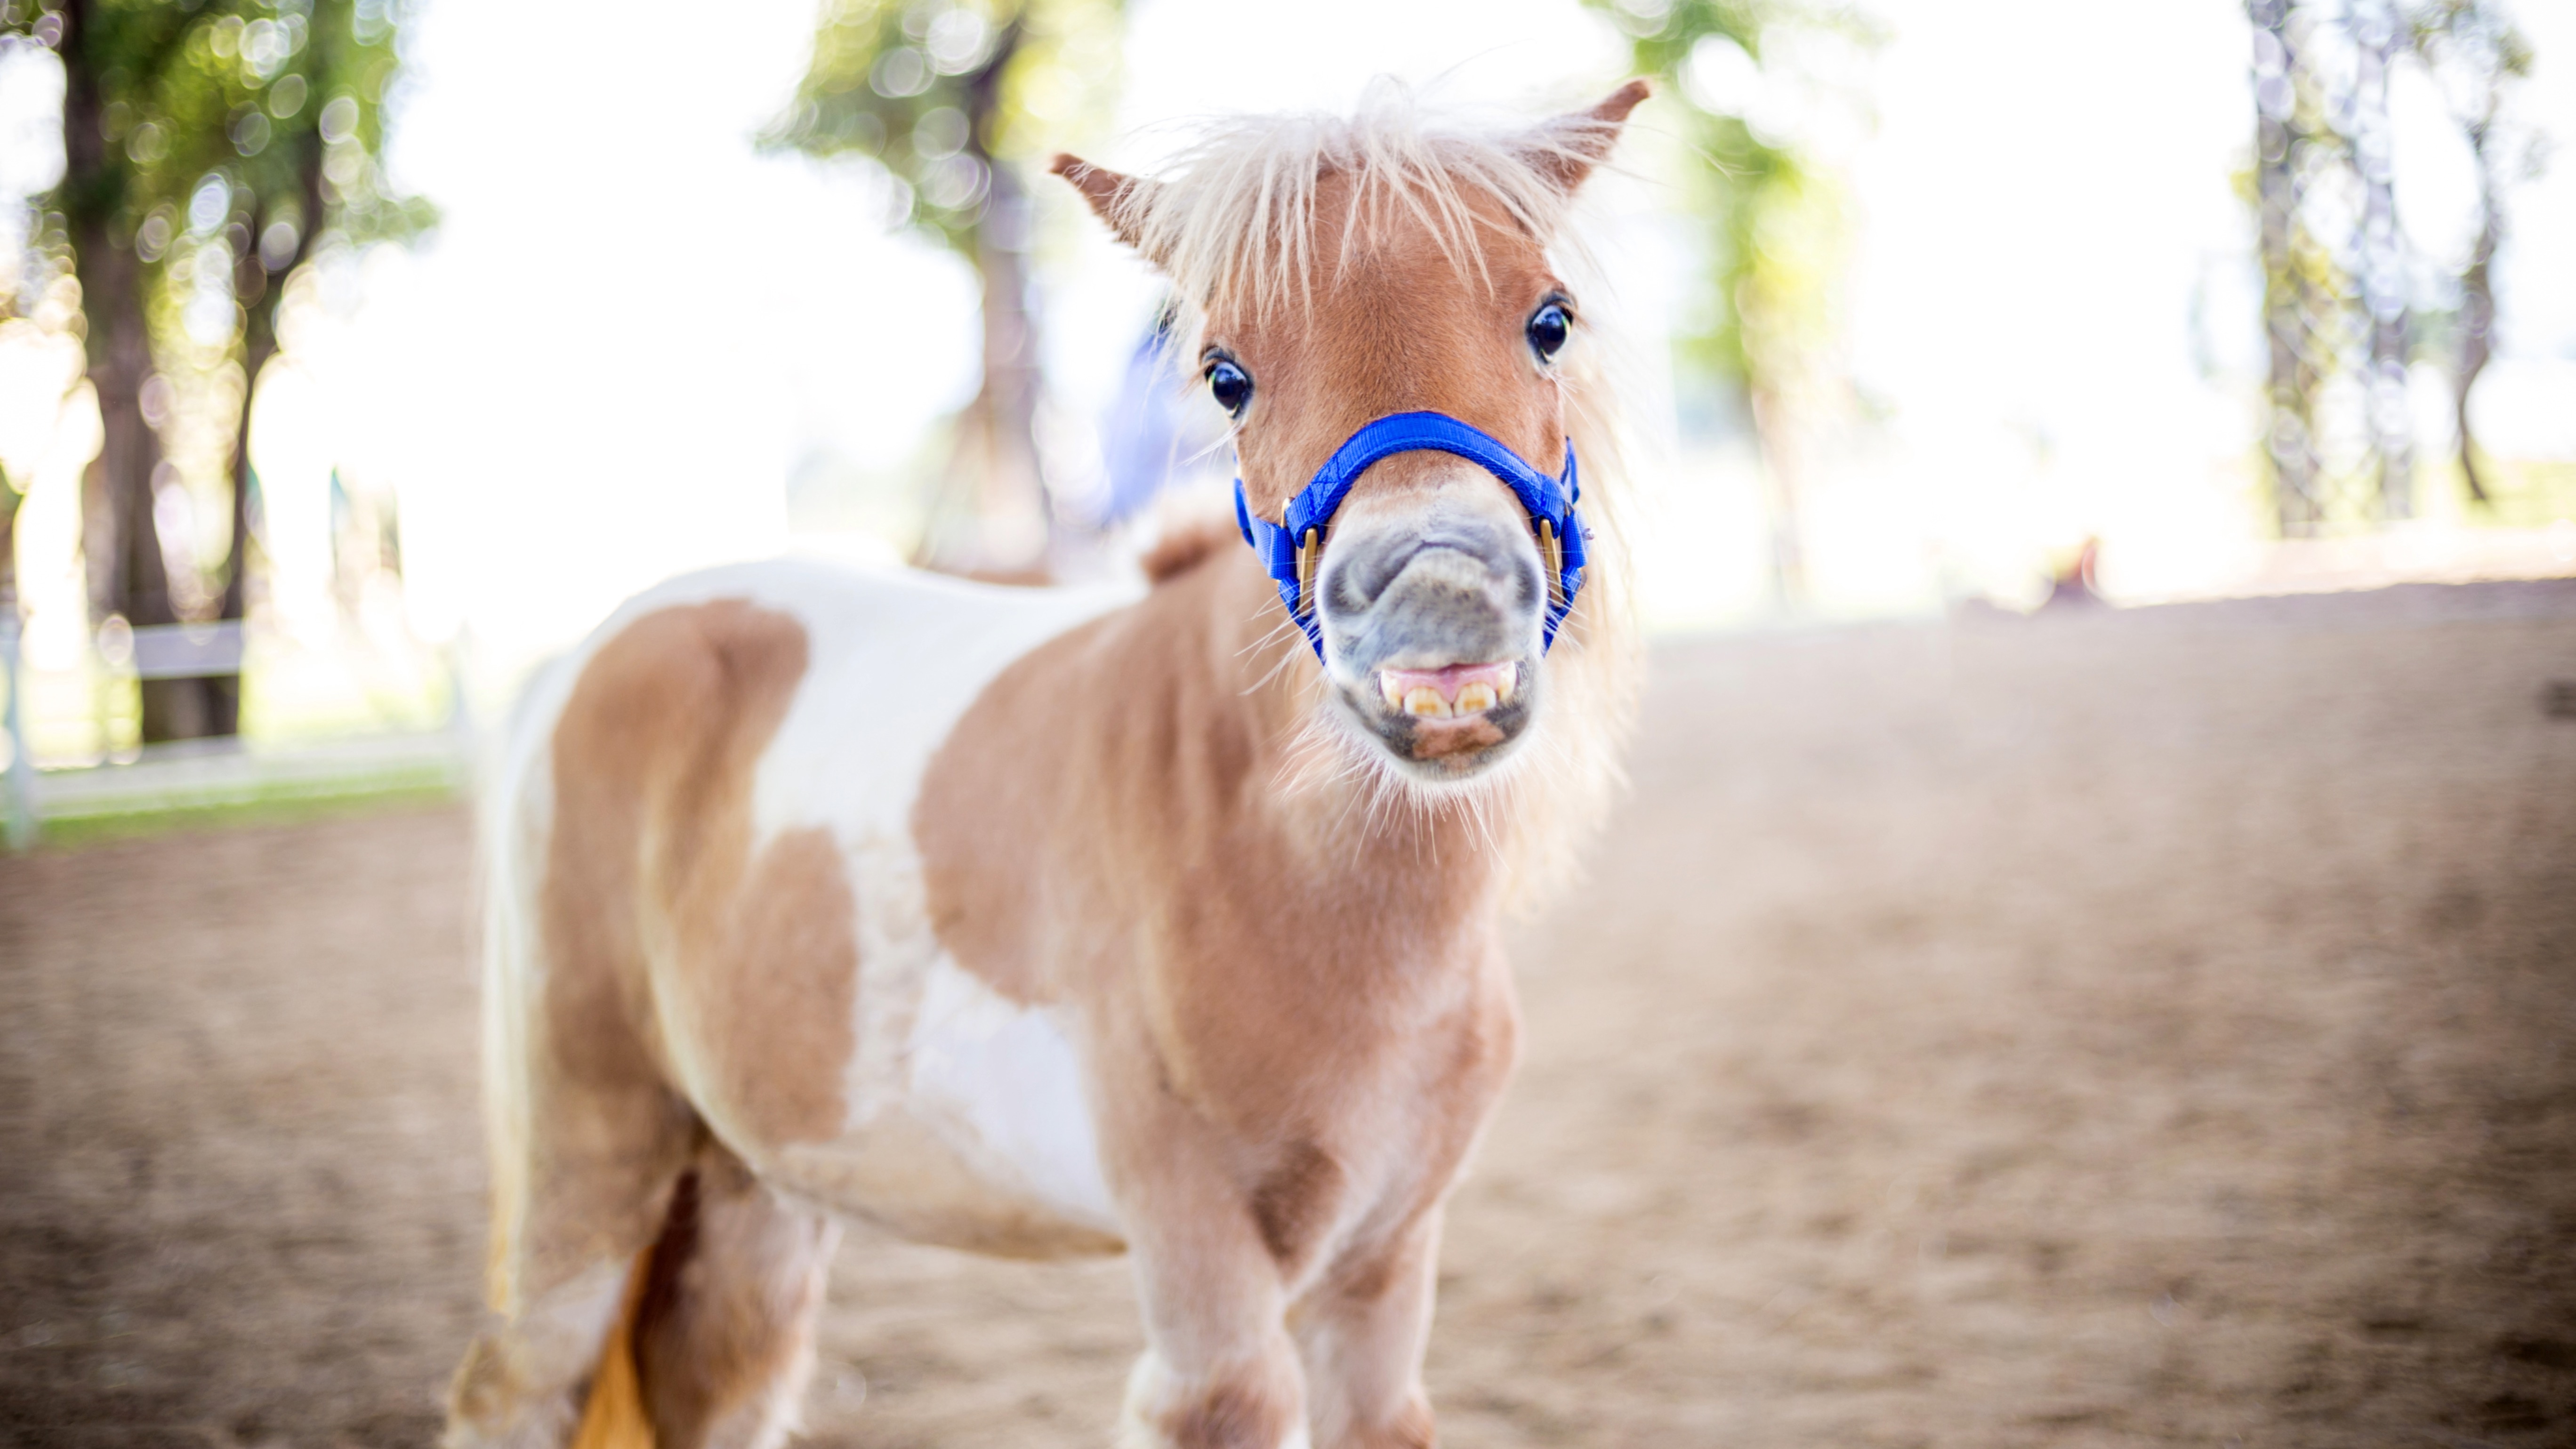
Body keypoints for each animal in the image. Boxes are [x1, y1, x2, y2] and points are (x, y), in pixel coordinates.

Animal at [448, 81, 1649, 1444]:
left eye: (1550, 320)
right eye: (1224, 375)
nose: (1434, 598)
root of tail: (592, 649)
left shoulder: (1383, 1272)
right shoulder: (1204, 1300)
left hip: (755, 1194)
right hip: (589, 1162)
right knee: (513, 1383)